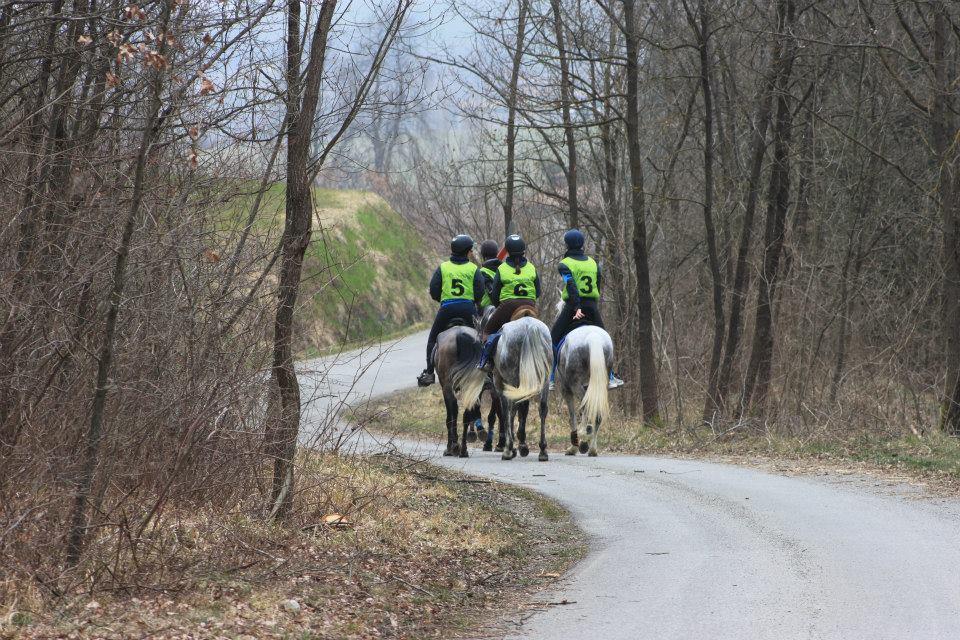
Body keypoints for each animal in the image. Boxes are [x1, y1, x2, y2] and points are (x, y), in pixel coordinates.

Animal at [434, 324, 488, 456]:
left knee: (452, 414)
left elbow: (451, 416)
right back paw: (463, 449)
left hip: (448, 387)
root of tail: (459, 333)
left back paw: (453, 447)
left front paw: (451, 446)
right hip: (472, 386)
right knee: (466, 415)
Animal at [492, 316, 552, 460]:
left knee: (512, 408)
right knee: (542, 408)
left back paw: (509, 449)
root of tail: (529, 327)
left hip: (513, 381)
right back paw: (542, 450)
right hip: (545, 379)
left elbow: (507, 412)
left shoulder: (501, 386)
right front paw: (521, 445)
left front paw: (512, 447)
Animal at [556, 324, 616, 456]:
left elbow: (573, 416)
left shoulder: (566, 390)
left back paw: (583, 442)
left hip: (575, 385)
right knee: (596, 413)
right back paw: (592, 448)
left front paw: (574, 446)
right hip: (599, 386)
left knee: (586, 409)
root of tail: (593, 337)